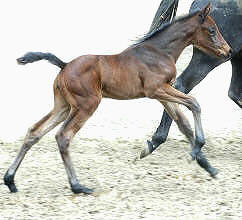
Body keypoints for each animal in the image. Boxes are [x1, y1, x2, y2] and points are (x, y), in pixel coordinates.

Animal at [3, 3, 231, 194]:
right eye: (212, 30)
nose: (228, 51)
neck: (159, 51)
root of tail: (64, 65)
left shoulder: (162, 93)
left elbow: (183, 124)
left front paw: (207, 165)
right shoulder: (157, 90)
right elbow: (194, 103)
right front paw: (198, 146)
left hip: (63, 106)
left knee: (34, 132)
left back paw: (10, 180)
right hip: (87, 105)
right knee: (63, 136)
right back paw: (77, 186)